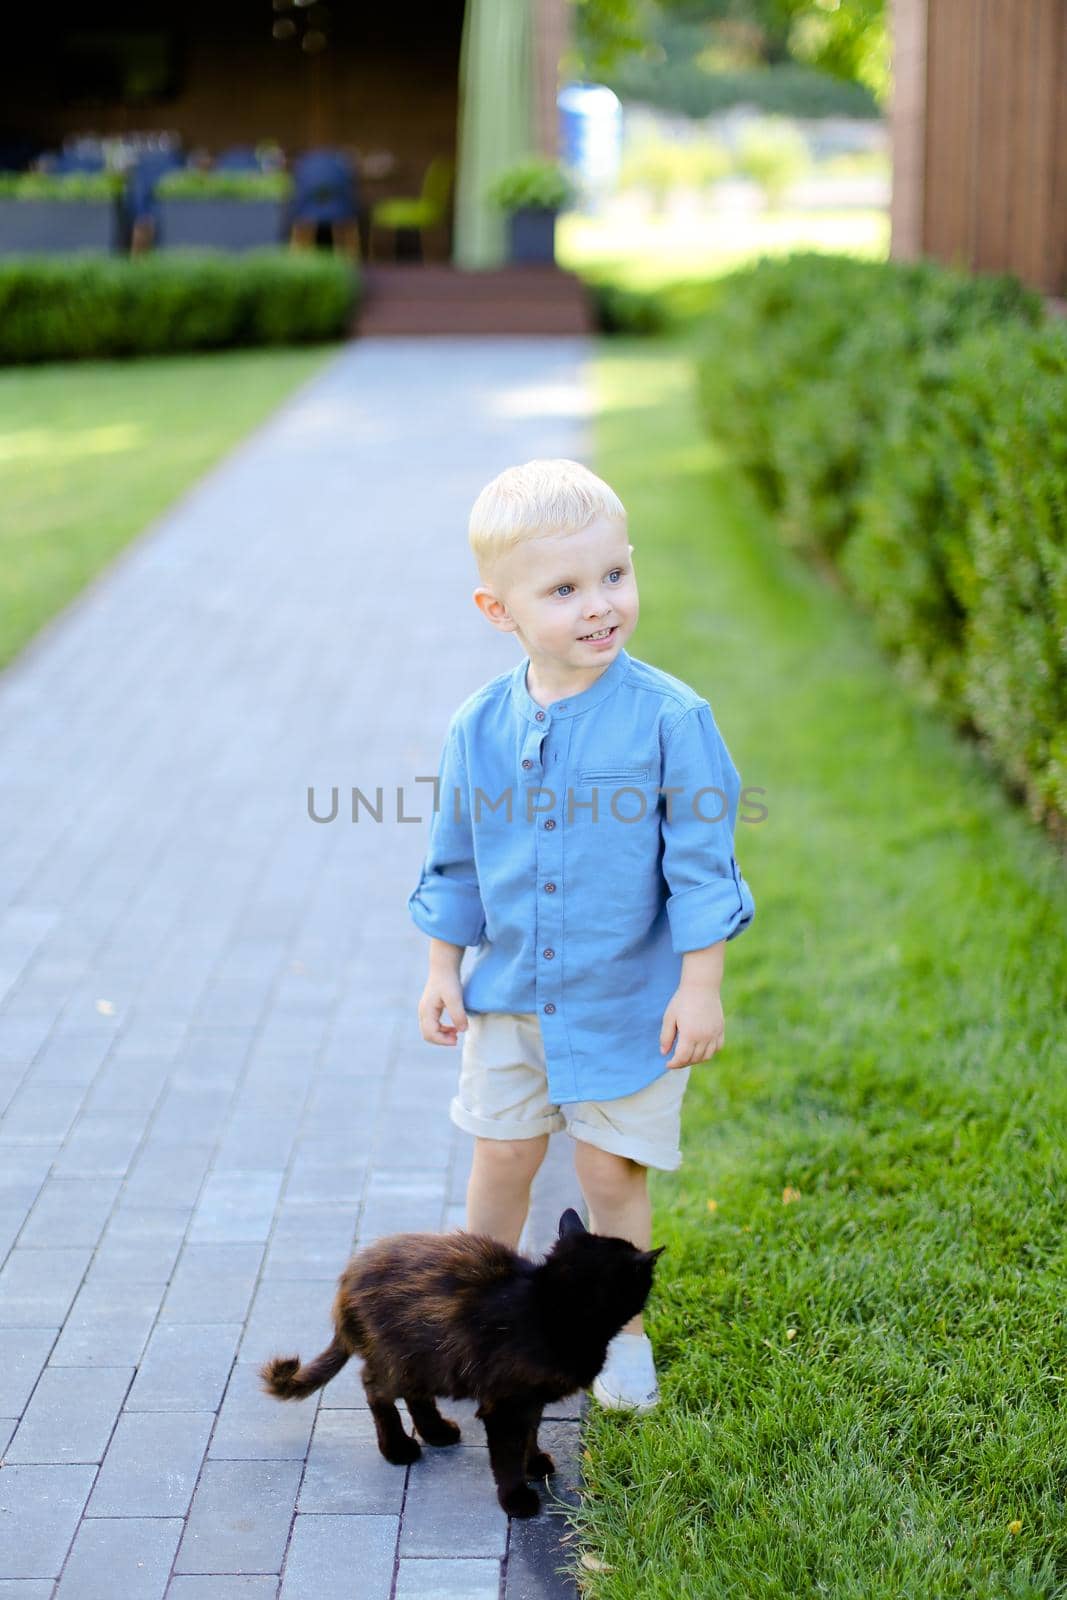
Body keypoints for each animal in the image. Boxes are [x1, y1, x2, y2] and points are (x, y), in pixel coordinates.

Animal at [259, 1209, 662, 1510]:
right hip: (397, 1357)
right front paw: (516, 1498)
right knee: (375, 1388)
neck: (550, 1310)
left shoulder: (529, 1399)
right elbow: (507, 1453)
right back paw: (398, 1448)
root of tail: (348, 1278)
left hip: (424, 1358)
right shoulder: (505, 1404)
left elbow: (531, 1432)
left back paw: (436, 1431)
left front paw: (534, 1463)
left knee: (415, 1394)